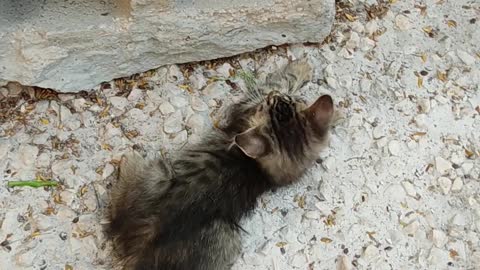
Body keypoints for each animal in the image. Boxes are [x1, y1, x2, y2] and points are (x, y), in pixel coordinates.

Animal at [107, 59, 336, 270]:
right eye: (286, 101)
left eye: (272, 102)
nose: (274, 97)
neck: (258, 169)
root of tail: (140, 247)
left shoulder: (247, 106)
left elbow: (279, 80)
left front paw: (299, 68)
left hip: (161, 174)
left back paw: (127, 159)